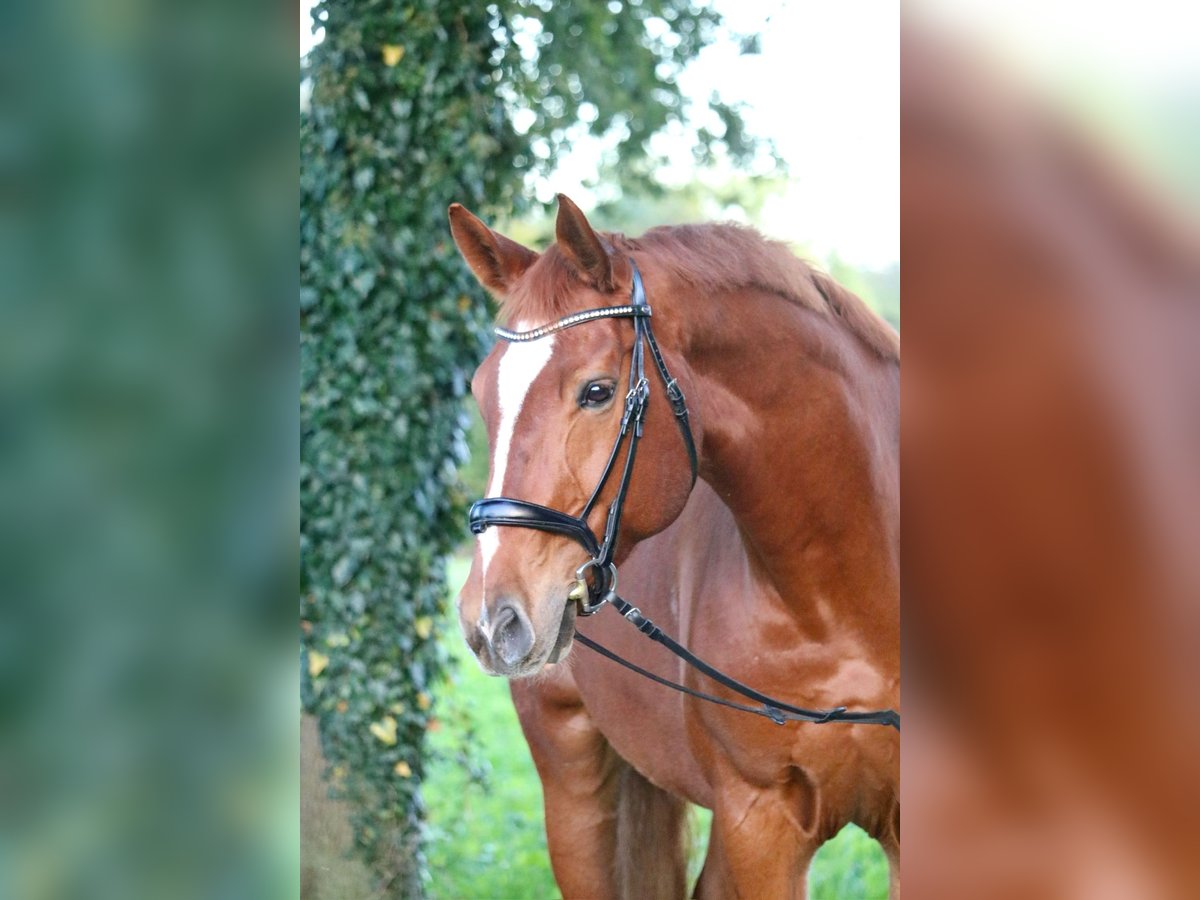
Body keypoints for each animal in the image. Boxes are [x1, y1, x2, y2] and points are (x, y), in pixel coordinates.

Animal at [451, 194, 902, 897]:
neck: (844, 599)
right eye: (480, 394)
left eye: (597, 391)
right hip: (573, 784)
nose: (490, 620)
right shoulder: (759, 821)